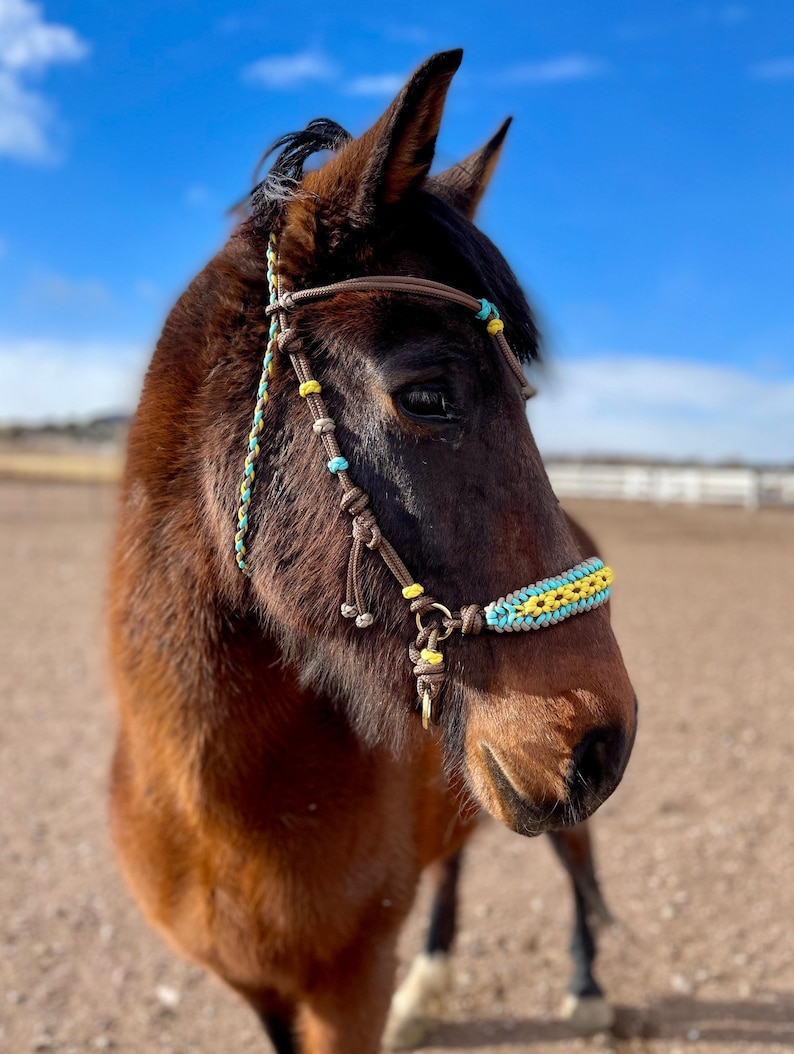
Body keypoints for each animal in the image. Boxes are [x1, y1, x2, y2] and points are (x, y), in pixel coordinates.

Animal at [108, 49, 636, 1054]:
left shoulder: (344, 991)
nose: (601, 744)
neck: (217, 806)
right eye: (426, 395)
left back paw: (589, 988)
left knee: (578, 859)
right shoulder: (264, 995)